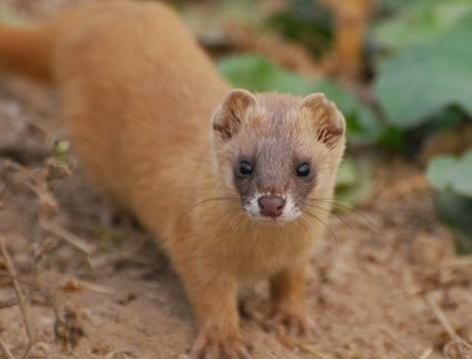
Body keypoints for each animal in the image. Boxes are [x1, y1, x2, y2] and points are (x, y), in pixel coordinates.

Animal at [0, 1, 346, 358]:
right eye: (244, 165)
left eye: (304, 167)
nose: (271, 202)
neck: (263, 254)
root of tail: (86, 15)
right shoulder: (194, 247)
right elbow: (212, 297)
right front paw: (223, 340)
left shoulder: (300, 253)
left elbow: (292, 282)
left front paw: (294, 319)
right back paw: (120, 215)